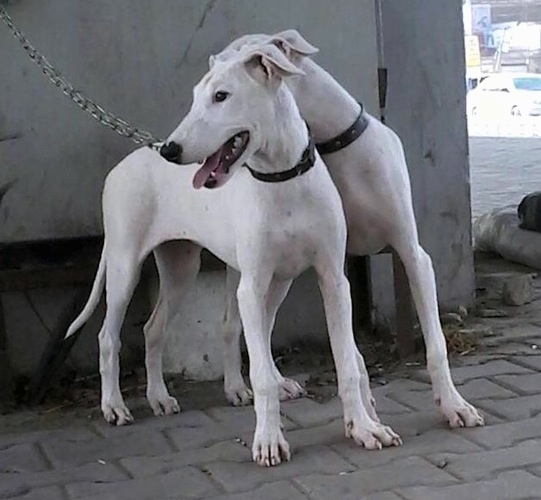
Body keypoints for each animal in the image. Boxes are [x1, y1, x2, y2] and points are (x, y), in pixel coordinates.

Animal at [65, 45, 398, 466]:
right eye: (195, 96)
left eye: (221, 96)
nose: (171, 151)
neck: (282, 179)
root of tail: (120, 168)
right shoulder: (251, 286)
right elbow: (261, 373)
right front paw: (268, 440)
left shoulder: (333, 280)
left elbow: (346, 363)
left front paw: (364, 428)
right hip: (125, 267)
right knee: (108, 337)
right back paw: (114, 406)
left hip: (184, 268)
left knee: (153, 329)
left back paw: (159, 398)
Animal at [209, 30, 484, 430]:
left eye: (225, 90)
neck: (340, 148)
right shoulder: (338, 262)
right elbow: (350, 351)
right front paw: (365, 408)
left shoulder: (409, 252)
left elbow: (435, 342)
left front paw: (454, 405)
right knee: (237, 324)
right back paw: (242, 386)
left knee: (258, 321)